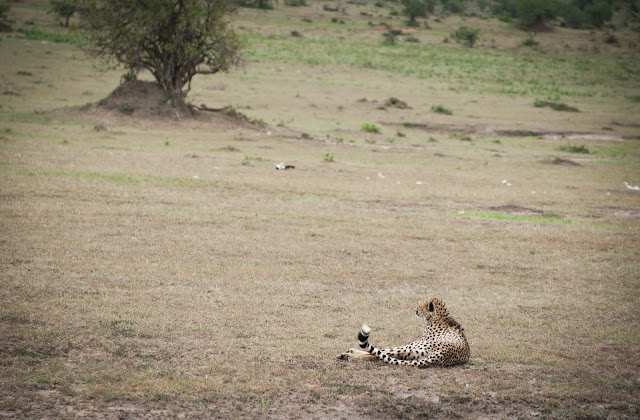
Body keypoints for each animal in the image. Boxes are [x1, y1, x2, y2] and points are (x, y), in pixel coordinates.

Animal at [338, 296, 468, 368]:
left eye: (419, 305)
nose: (415, 310)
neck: (442, 315)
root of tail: (443, 354)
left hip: (408, 348)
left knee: (377, 352)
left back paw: (347, 354)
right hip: (412, 354)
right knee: (377, 355)